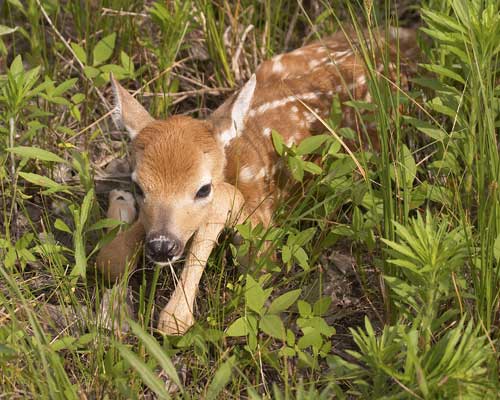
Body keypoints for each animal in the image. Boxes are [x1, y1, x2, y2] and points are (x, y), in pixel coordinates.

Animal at [95, 27, 416, 334]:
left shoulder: (262, 232)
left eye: (203, 189)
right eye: (139, 186)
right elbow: (109, 257)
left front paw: (174, 319)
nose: (162, 246)